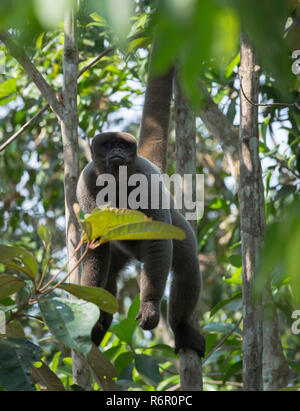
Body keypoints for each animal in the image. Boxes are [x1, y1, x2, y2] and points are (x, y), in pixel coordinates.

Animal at [76, 133, 205, 358]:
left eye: (122, 145)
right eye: (109, 145)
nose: (117, 149)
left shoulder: (148, 180)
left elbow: (158, 239)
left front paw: (149, 306)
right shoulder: (86, 182)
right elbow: (96, 242)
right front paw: (88, 303)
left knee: (186, 263)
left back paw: (181, 328)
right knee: (109, 276)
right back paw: (98, 328)